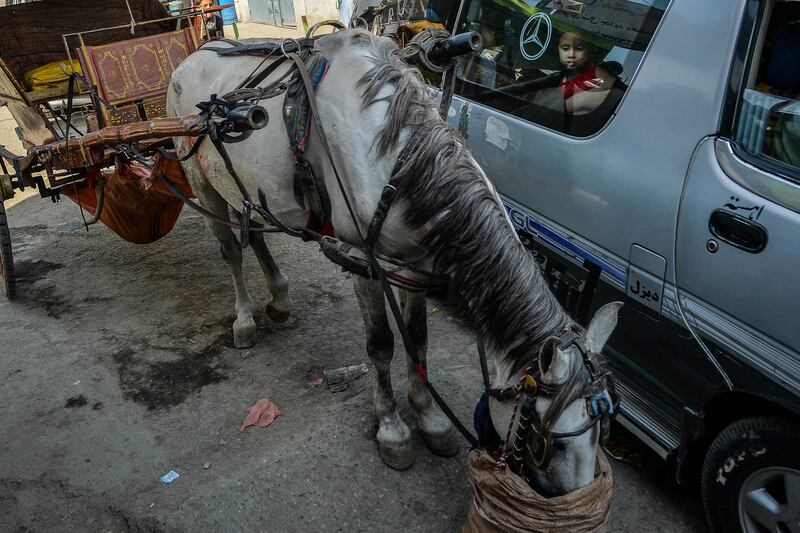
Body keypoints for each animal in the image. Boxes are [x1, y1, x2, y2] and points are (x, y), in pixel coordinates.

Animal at [166, 29, 620, 494]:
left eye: (603, 431)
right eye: (550, 441)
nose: (578, 497)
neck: (398, 159)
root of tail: (194, 54)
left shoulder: (413, 263)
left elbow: (418, 340)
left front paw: (430, 417)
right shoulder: (360, 259)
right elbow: (381, 344)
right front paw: (392, 428)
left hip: (246, 187)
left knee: (255, 233)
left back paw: (279, 298)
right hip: (202, 179)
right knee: (231, 249)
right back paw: (244, 319)